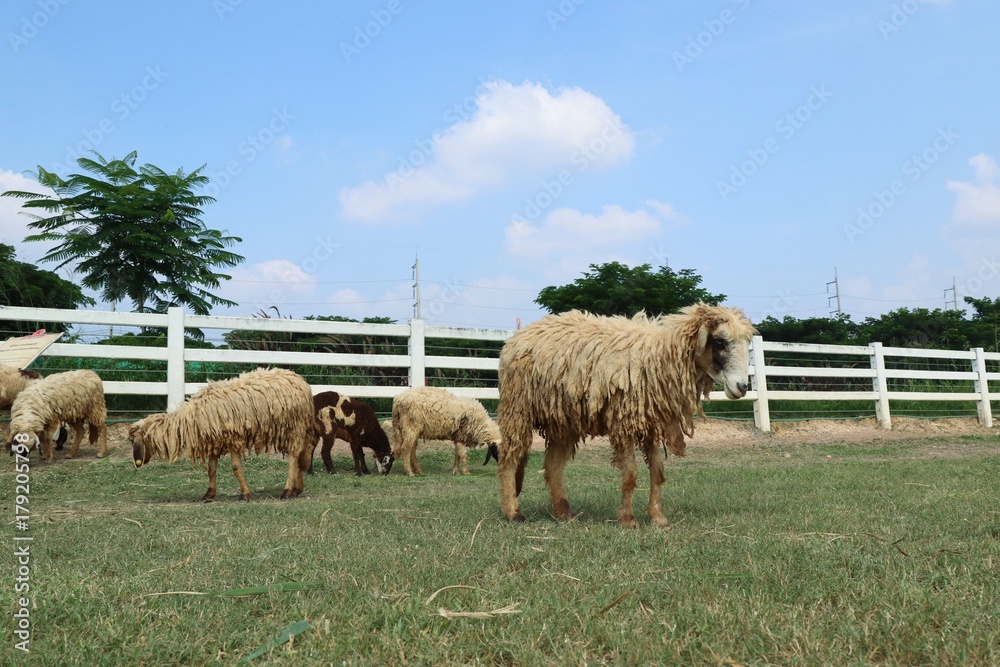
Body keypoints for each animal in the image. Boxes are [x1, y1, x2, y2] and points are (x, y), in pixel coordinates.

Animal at [129, 367, 315, 502]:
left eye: (132, 441)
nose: (137, 463)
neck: (191, 419)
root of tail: (301, 381)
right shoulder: (214, 442)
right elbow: (211, 470)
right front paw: (209, 494)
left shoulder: (232, 439)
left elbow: (236, 468)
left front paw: (244, 494)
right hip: (287, 430)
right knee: (298, 456)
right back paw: (297, 489)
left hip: (293, 427)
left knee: (293, 458)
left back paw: (287, 491)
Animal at [497, 303, 756, 528]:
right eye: (720, 341)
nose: (742, 387)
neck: (660, 358)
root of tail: (521, 334)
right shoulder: (624, 423)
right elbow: (631, 473)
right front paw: (628, 519)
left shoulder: (651, 423)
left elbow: (657, 472)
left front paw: (658, 517)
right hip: (517, 408)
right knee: (509, 458)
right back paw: (513, 512)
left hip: (562, 419)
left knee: (553, 466)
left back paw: (563, 511)